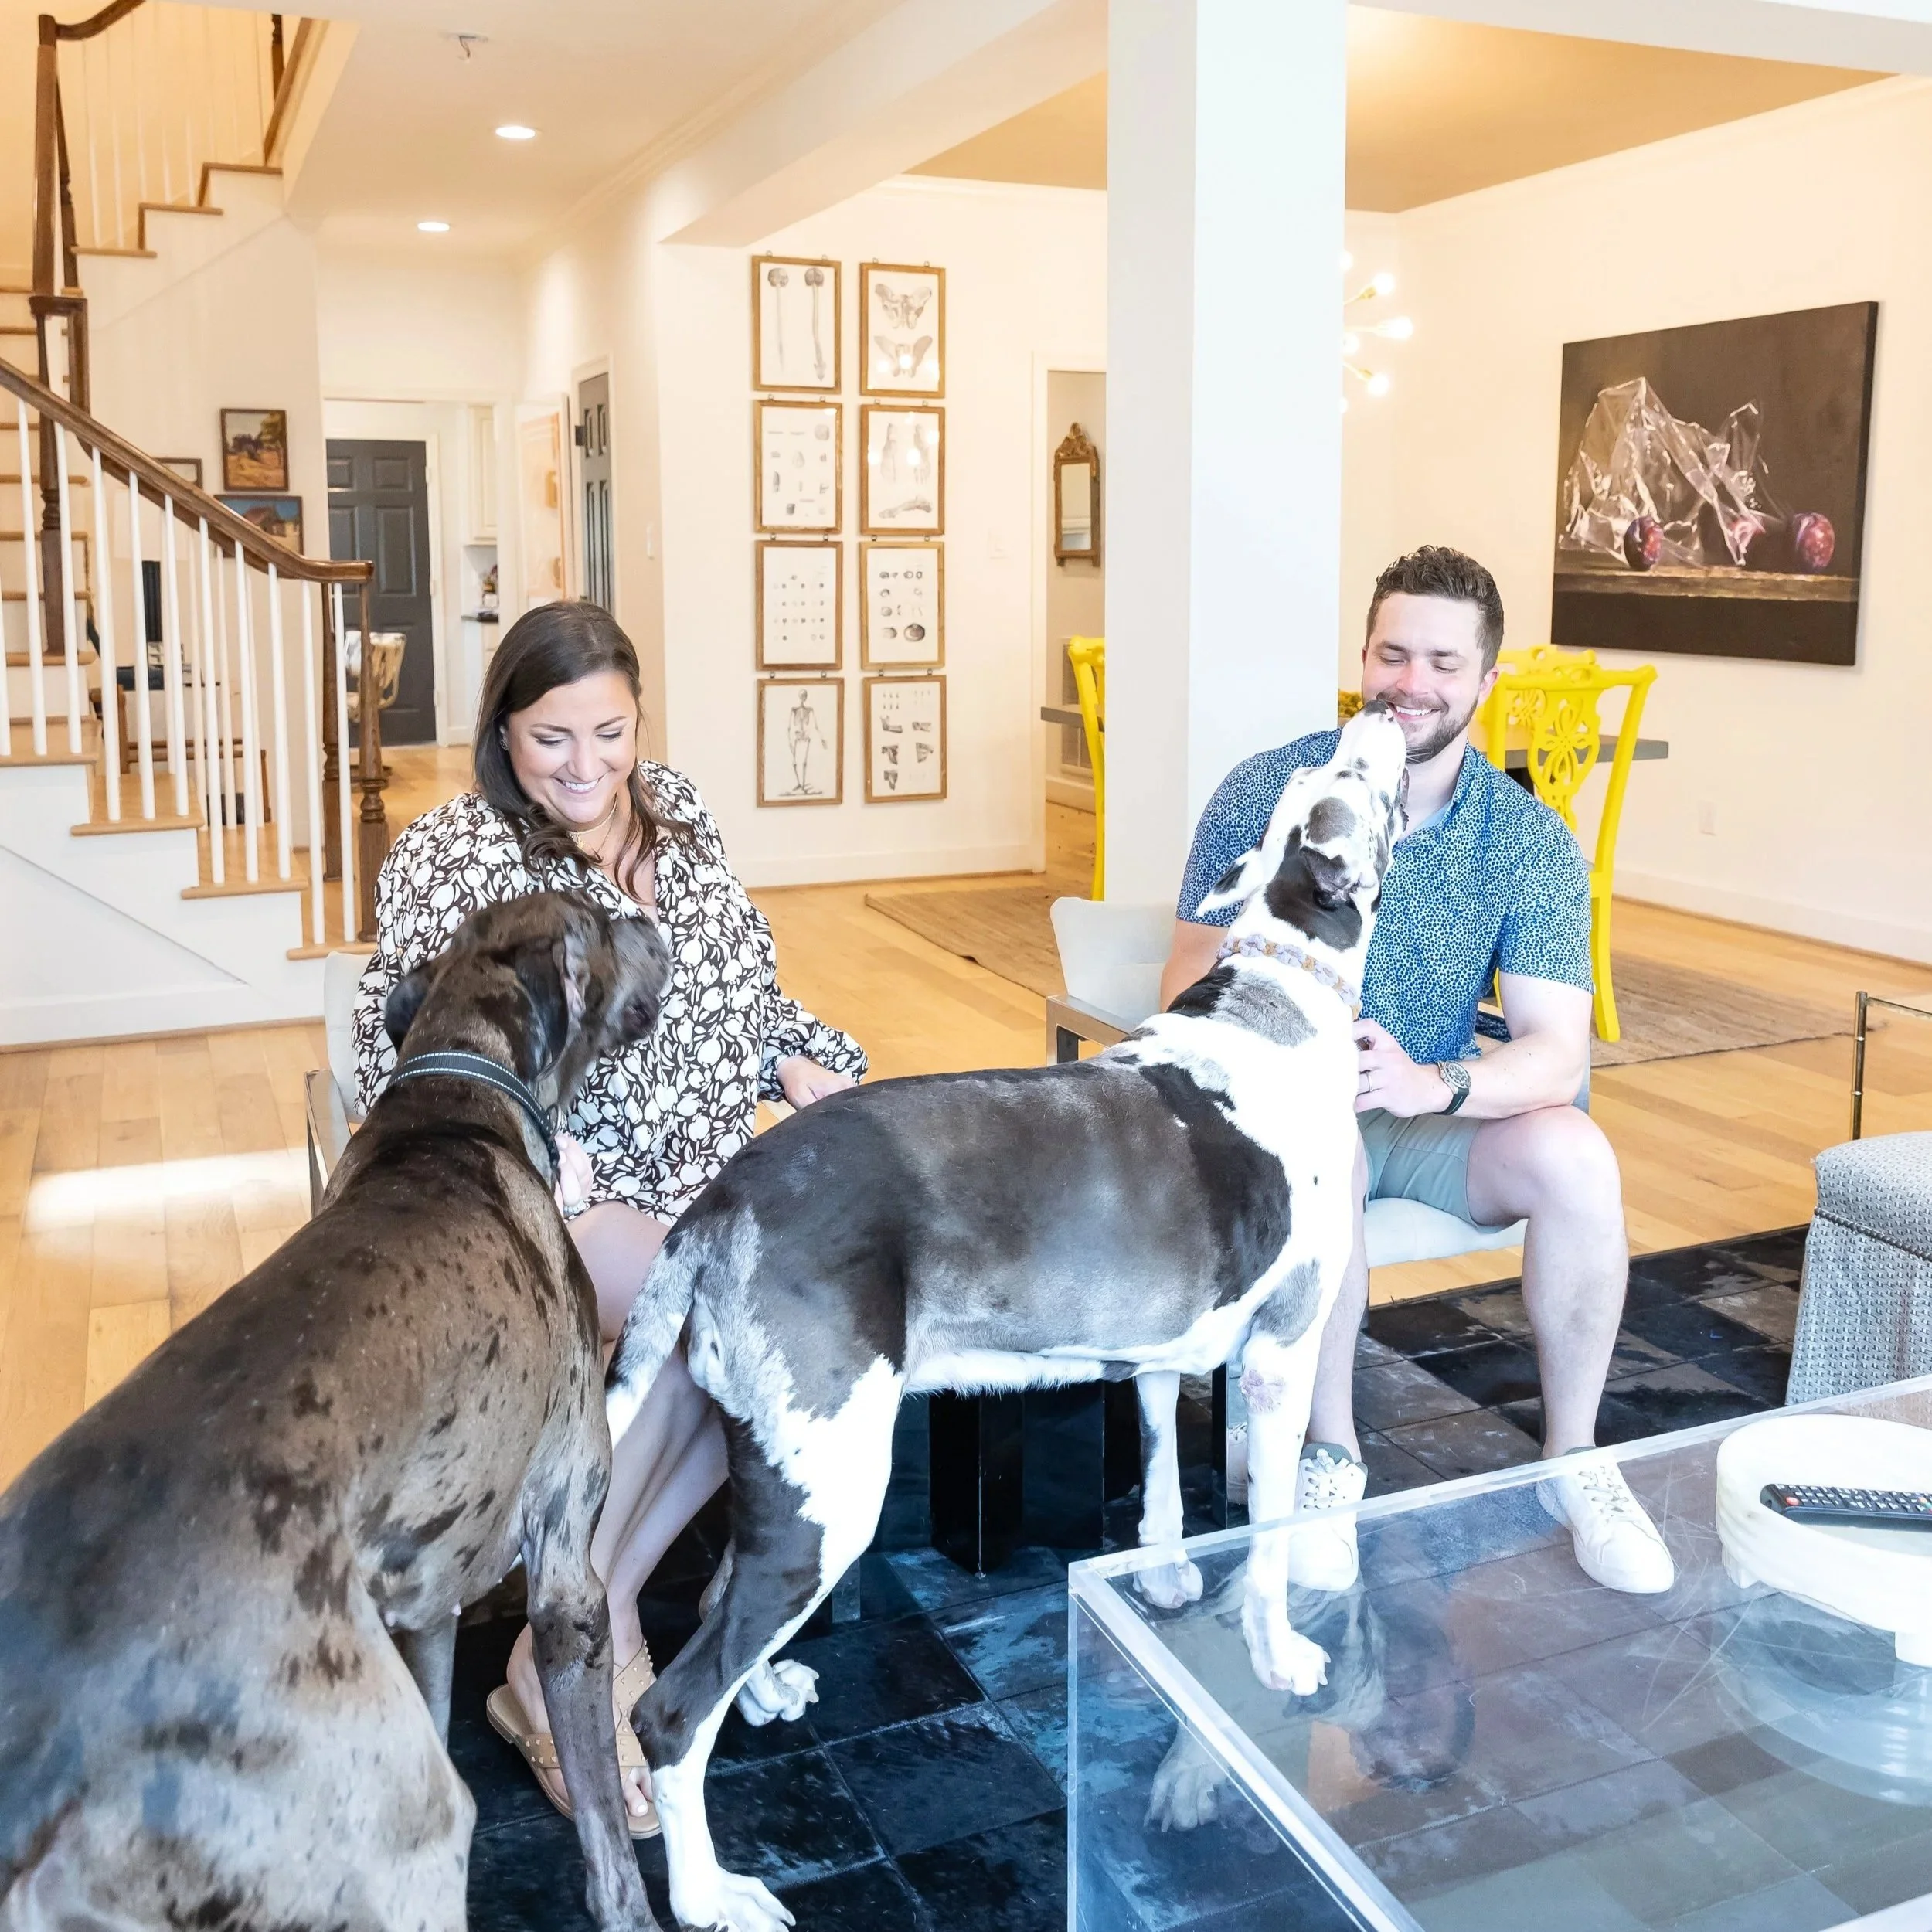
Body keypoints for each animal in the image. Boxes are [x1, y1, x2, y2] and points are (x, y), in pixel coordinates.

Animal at [0, 893, 670, 1932]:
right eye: (595, 915)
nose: (648, 916)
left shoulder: (425, 1605)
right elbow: (607, 1840)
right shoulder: (569, 1582)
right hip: (411, 1832)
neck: (460, 1087)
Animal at [602, 705, 1409, 1932]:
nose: (1378, 714)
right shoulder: (1280, 1352)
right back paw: (709, 1894)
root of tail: (719, 1204)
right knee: (672, 1714)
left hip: (776, 1472)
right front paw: (1277, 1660)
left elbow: (1163, 1468)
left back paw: (772, 1686)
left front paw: (1163, 1578)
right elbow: (1266, 1535)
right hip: (837, 1484)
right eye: (1349, 776)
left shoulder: (1156, 1344)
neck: (1284, 999)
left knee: (715, 1607)